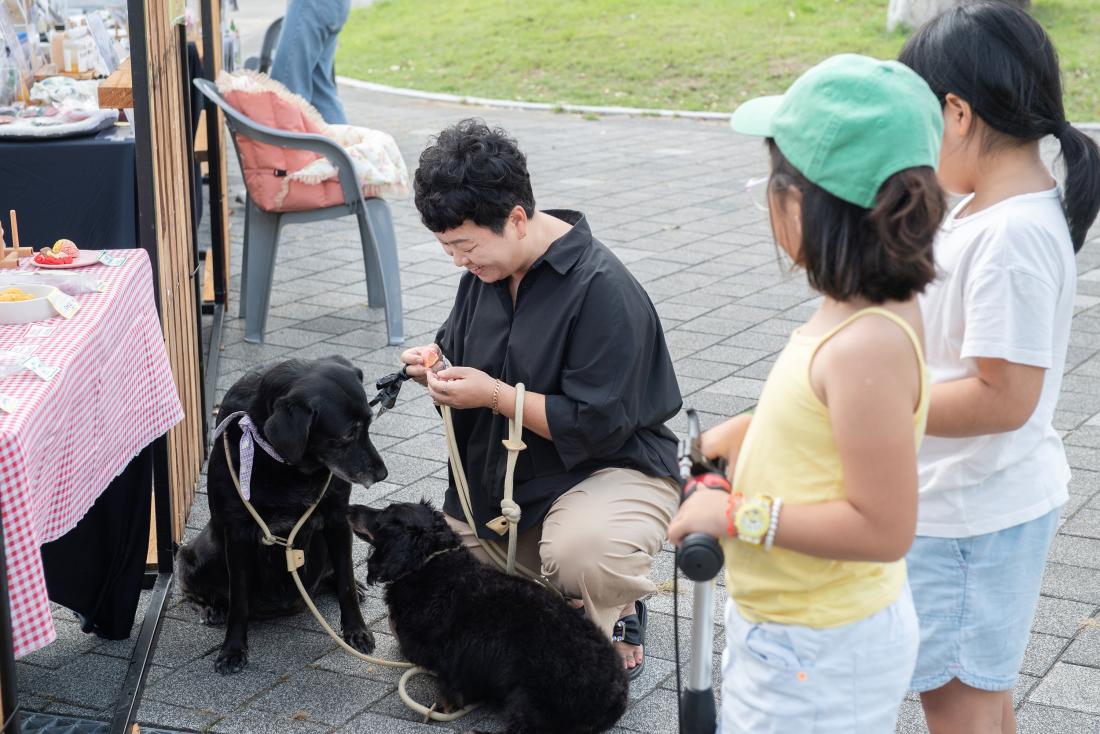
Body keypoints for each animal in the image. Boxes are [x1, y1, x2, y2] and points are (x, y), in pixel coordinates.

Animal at [179, 358, 387, 673]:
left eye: (369, 425)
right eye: (348, 434)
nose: (383, 474)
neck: (286, 466)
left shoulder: (338, 520)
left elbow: (346, 583)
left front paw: (357, 631)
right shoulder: (237, 532)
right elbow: (238, 599)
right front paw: (232, 649)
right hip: (203, 551)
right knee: (193, 581)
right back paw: (211, 607)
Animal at [352, 499, 629, 734]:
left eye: (383, 516)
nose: (350, 508)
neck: (432, 563)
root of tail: (616, 695)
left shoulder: (453, 659)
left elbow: (450, 688)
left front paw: (442, 707)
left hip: (527, 699)